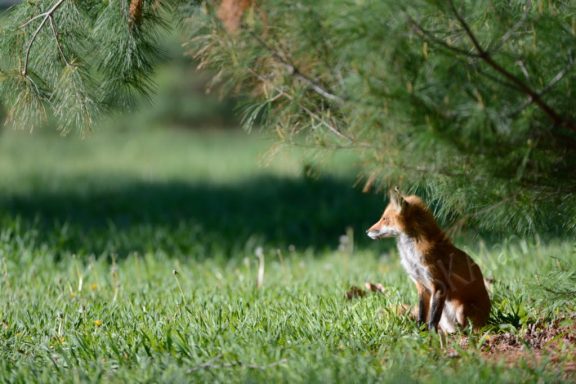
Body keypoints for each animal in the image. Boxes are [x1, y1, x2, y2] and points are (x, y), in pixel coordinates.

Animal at [368, 188, 490, 332]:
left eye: (385, 219)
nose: (367, 231)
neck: (411, 257)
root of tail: (488, 318)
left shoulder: (439, 286)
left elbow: (433, 318)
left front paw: (431, 333)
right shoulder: (422, 286)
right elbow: (422, 314)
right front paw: (419, 331)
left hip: (461, 309)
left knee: (467, 329)